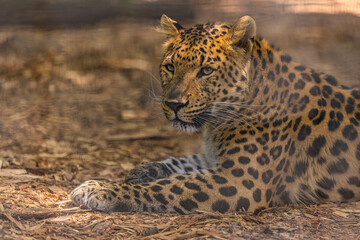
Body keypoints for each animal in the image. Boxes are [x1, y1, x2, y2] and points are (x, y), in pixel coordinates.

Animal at [70, 15, 360, 214]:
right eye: (170, 66)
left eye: (206, 71)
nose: (174, 104)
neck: (216, 124)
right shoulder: (217, 162)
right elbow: (184, 162)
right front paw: (144, 169)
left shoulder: (239, 179)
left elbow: (171, 186)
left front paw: (100, 189)